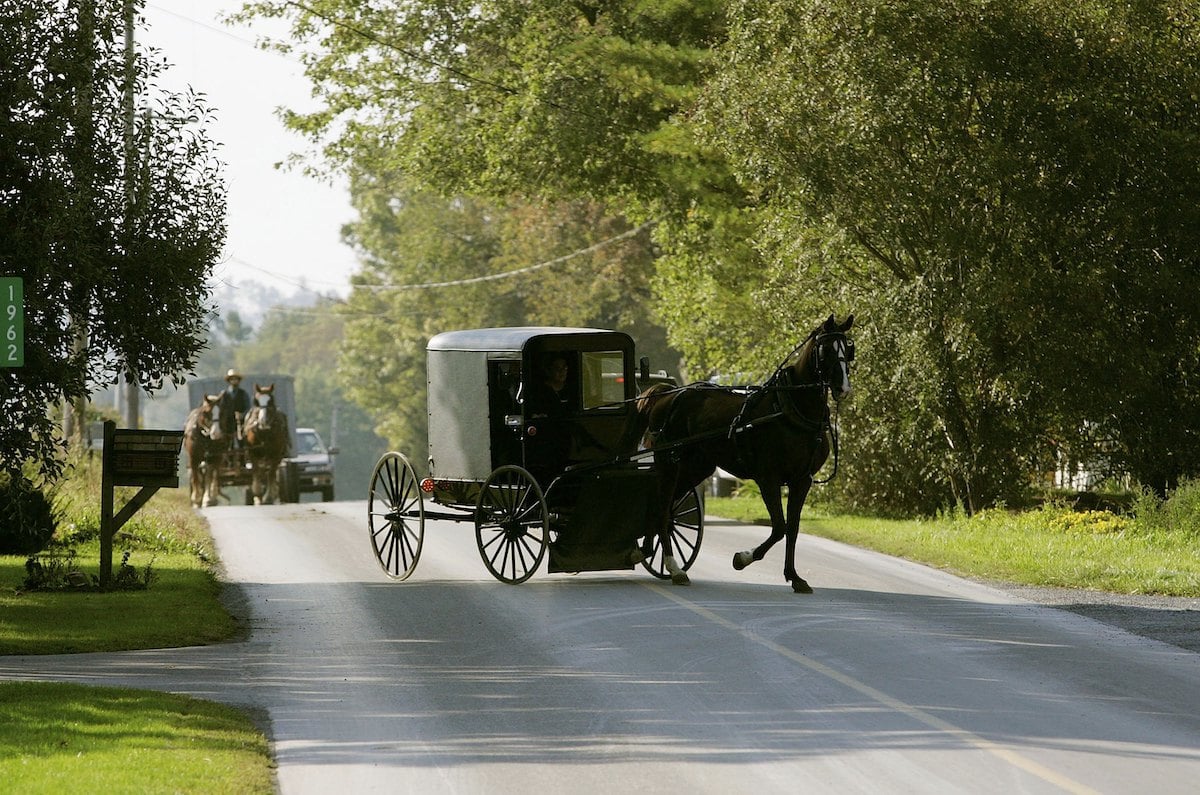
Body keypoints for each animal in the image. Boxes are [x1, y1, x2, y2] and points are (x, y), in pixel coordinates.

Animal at [638, 314, 854, 595]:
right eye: (826, 349)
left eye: (848, 349)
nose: (843, 387)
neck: (791, 411)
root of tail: (666, 395)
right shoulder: (768, 478)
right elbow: (779, 527)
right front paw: (742, 559)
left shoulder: (802, 480)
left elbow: (793, 528)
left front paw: (795, 577)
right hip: (669, 465)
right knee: (663, 509)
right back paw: (674, 568)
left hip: (696, 468)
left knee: (664, 509)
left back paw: (649, 550)